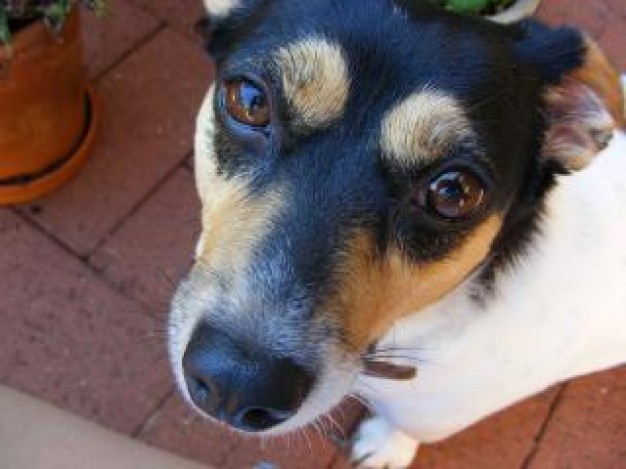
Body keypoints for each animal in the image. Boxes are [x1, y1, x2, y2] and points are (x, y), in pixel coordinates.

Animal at [167, 0, 624, 464]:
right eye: (250, 101)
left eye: (454, 192)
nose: (233, 384)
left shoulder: (433, 417)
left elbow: (407, 429)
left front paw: (386, 446)